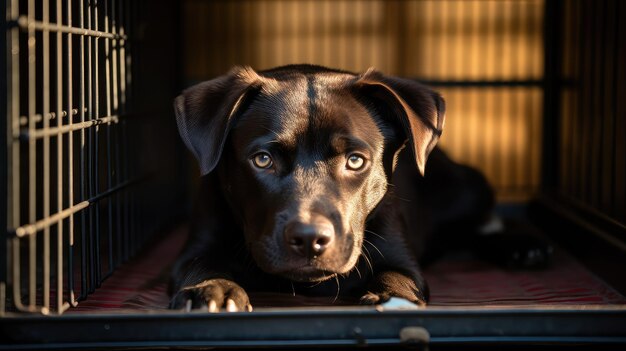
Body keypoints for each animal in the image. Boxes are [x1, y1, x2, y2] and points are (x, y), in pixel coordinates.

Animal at [168, 64, 548, 312]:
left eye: (355, 161)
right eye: (262, 160)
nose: (309, 238)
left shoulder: (399, 255)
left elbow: (398, 277)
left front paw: (392, 299)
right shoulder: (197, 244)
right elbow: (202, 264)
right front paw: (212, 291)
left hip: (467, 190)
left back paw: (522, 246)